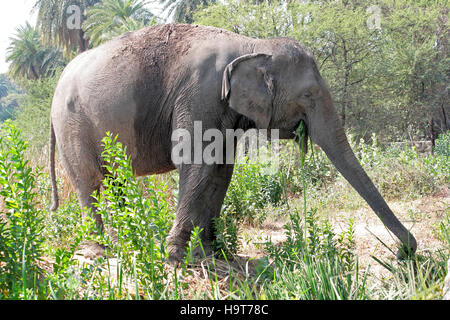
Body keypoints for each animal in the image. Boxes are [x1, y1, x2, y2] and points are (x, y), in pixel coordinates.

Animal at [49, 23, 418, 262]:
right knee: (90, 184)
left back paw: (127, 241)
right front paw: (176, 255)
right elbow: (195, 161)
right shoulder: (200, 93)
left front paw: (212, 253)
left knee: (115, 183)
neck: (252, 46)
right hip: (72, 125)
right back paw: (102, 251)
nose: (405, 252)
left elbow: (221, 170)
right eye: (309, 95)